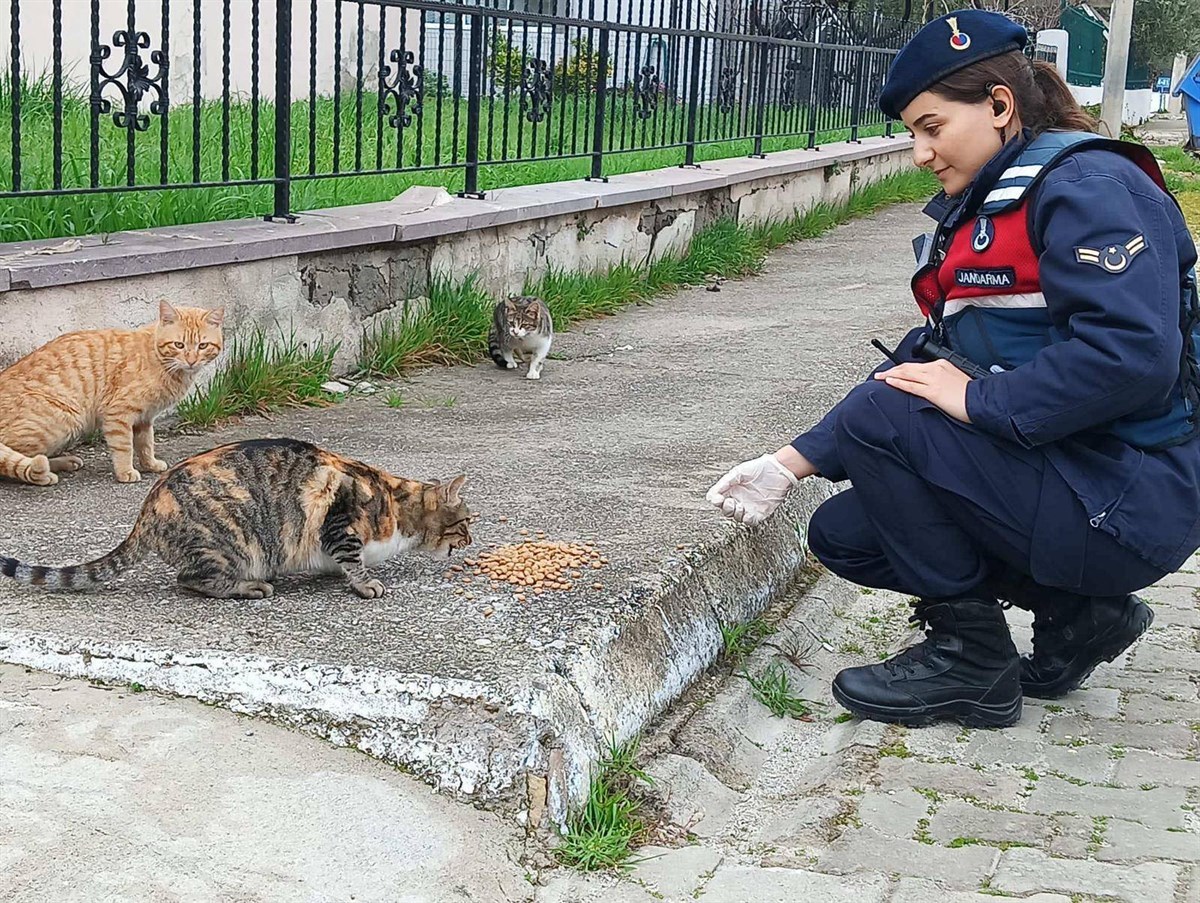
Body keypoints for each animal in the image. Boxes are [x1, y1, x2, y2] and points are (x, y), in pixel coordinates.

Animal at [0, 300, 225, 487]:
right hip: (63, 421)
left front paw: (150, 464)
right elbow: (124, 447)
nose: (191, 361)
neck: (160, 360)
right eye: (179, 345)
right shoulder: (119, 413)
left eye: (202, 346)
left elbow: (146, 443)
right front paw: (126, 472)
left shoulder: (145, 417)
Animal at [0, 437, 475, 600]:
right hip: (229, 540)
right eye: (466, 523)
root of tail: (146, 511)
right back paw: (251, 587)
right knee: (192, 580)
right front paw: (365, 583)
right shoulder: (340, 522)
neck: (395, 502)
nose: (471, 540)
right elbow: (352, 560)